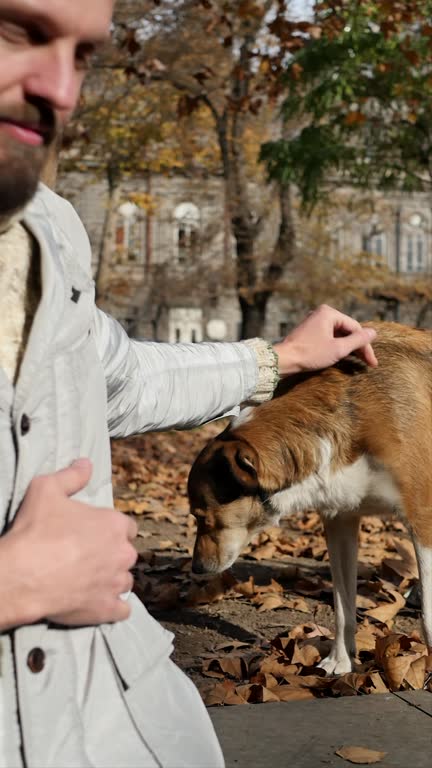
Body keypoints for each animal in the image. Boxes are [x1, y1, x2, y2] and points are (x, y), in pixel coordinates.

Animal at [188, 322, 432, 672]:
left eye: (202, 517)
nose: (196, 568)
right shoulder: (340, 520)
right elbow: (342, 606)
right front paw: (340, 661)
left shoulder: (422, 518)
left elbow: (428, 617)